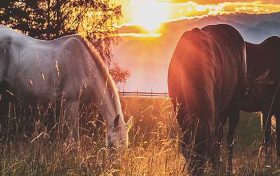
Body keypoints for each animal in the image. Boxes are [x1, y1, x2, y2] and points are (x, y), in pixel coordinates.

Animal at [167, 24, 246, 175]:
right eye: (188, 156)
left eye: (204, 159)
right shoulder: (180, 111)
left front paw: (216, 166)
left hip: (234, 105)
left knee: (229, 139)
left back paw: (228, 169)